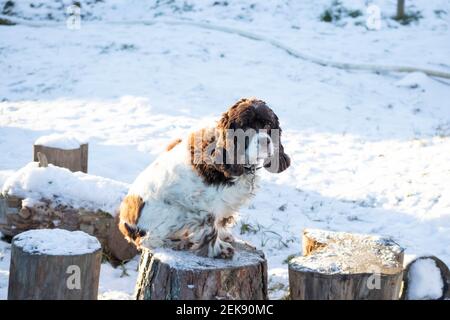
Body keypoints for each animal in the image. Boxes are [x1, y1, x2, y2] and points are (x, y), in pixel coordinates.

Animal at [118, 97, 290, 258]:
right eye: (246, 127)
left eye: (268, 125)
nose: (265, 141)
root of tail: (124, 225)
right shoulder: (201, 203)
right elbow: (210, 227)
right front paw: (219, 250)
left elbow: (220, 222)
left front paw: (225, 236)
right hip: (173, 212)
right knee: (148, 240)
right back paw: (179, 243)